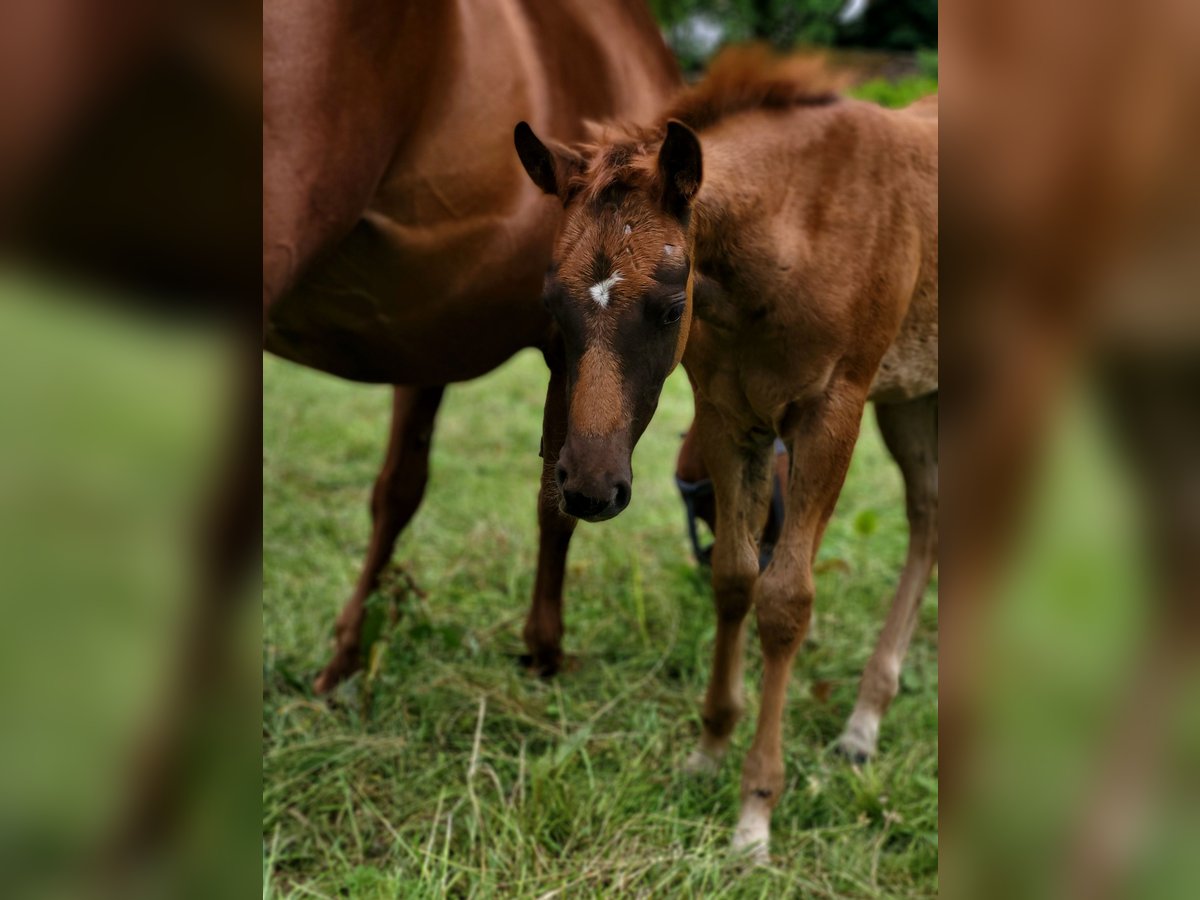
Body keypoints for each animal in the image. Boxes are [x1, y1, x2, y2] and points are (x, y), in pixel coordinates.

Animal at [262, 0, 681, 687]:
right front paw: (543, 649)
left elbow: (399, 489)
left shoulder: (422, 343)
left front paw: (345, 658)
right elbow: (556, 501)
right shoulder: (563, 350)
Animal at [514, 46, 937, 858]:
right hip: (910, 397)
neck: (795, 227)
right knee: (933, 515)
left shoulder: (830, 413)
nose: (589, 488)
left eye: (669, 306)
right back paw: (864, 722)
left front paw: (755, 811)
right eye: (549, 301)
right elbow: (735, 577)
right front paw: (709, 748)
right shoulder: (725, 410)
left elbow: (786, 599)